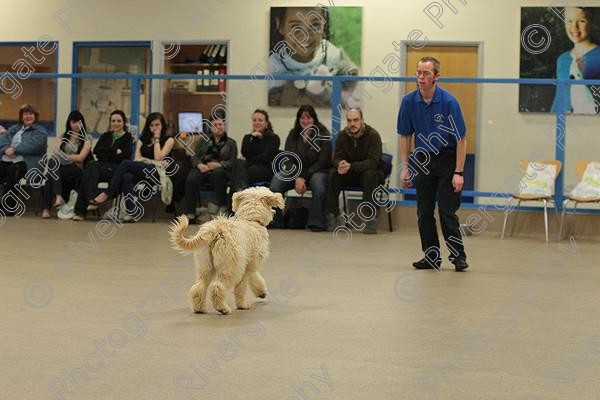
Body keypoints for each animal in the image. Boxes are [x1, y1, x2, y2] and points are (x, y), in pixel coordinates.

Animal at [170, 188, 284, 316]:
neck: (251, 220)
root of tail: (215, 230)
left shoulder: (248, 265)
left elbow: (255, 278)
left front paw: (261, 292)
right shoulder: (247, 268)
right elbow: (242, 287)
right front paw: (242, 305)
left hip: (205, 266)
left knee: (199, 287)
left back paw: (199, 308)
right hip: (230, 268)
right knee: (217, 286)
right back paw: (222, 308)